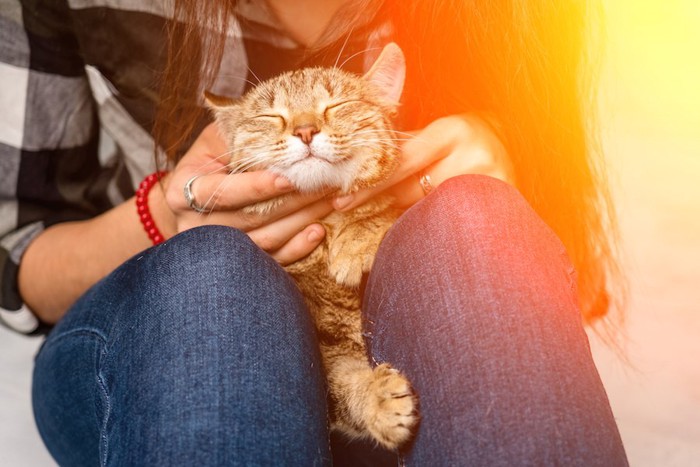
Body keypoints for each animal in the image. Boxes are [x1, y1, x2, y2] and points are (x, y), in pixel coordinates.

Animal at [205, 43, 418, 450]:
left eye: (336, 105)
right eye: (271, 116)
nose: (305, 130)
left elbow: (386, 210)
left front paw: (359, 237)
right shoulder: (326, 356)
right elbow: (342, 381)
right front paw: (376, 397)